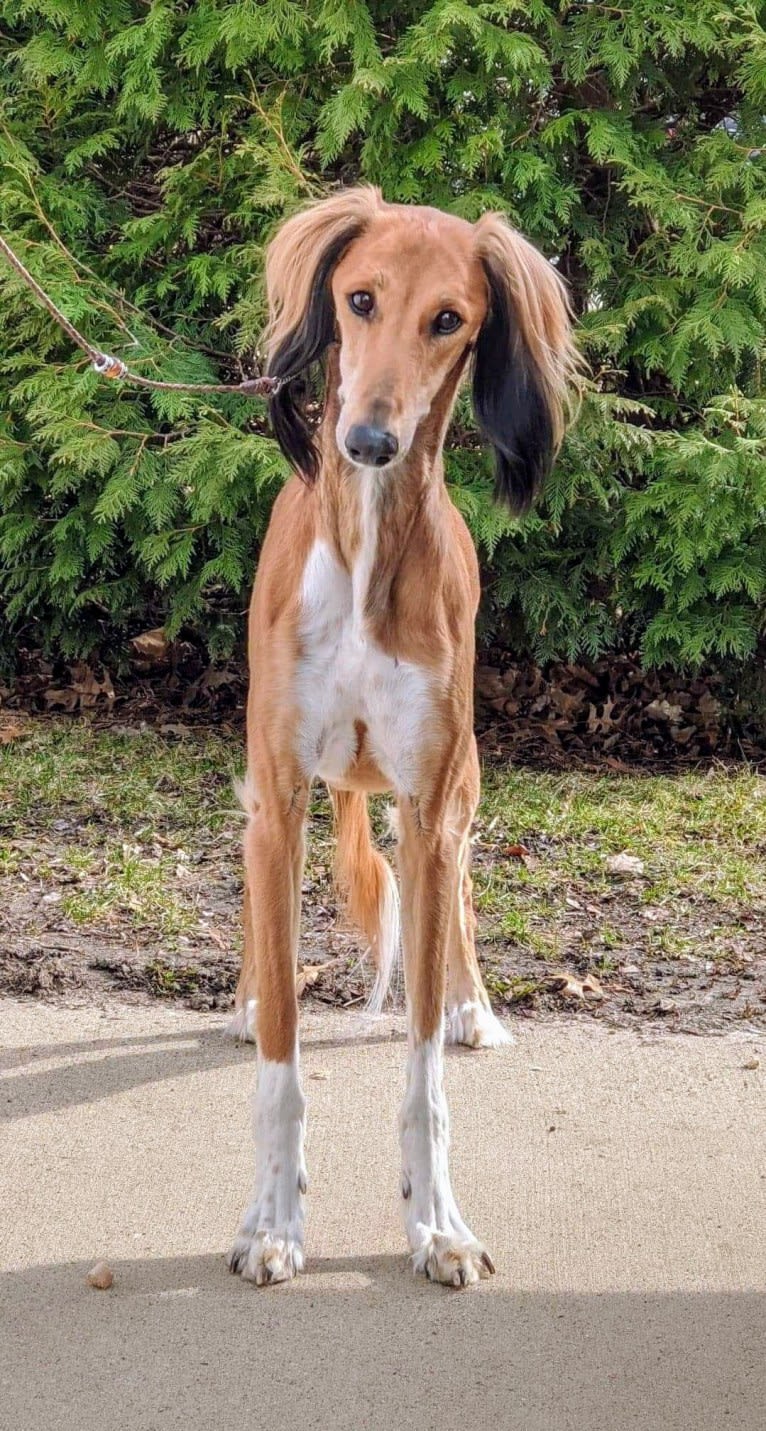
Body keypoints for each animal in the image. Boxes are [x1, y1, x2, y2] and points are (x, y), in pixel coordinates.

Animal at [227, 184, 581, 1293]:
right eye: (360, 298)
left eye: (448, 320)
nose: (370, 442)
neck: (368, 551)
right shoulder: (279, 793)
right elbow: (282, 1059)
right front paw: (272, 1221)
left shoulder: (427, 806)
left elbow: (420, 1064)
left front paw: (437, 1224)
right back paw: (245, 992)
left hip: (458, 791)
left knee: (456, 896)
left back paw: (473, 1003)